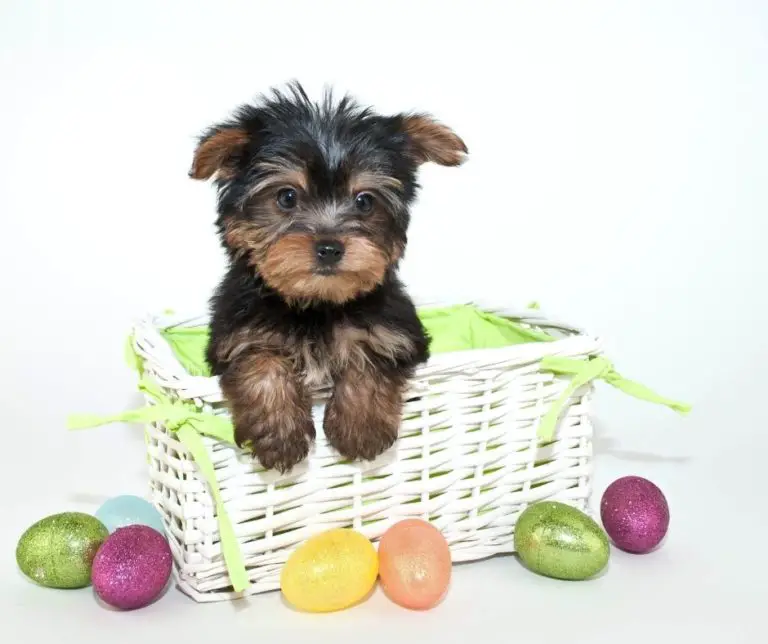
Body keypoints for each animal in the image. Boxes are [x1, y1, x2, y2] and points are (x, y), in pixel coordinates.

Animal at [192, 83, 468, 470]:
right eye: (286, 197)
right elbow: (259, 356)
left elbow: (372, 352)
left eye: (364, 201)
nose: (329, 247)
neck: (317, 304)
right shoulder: (235, 332)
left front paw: (360, 429)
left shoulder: (396, 330)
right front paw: (279, 435)